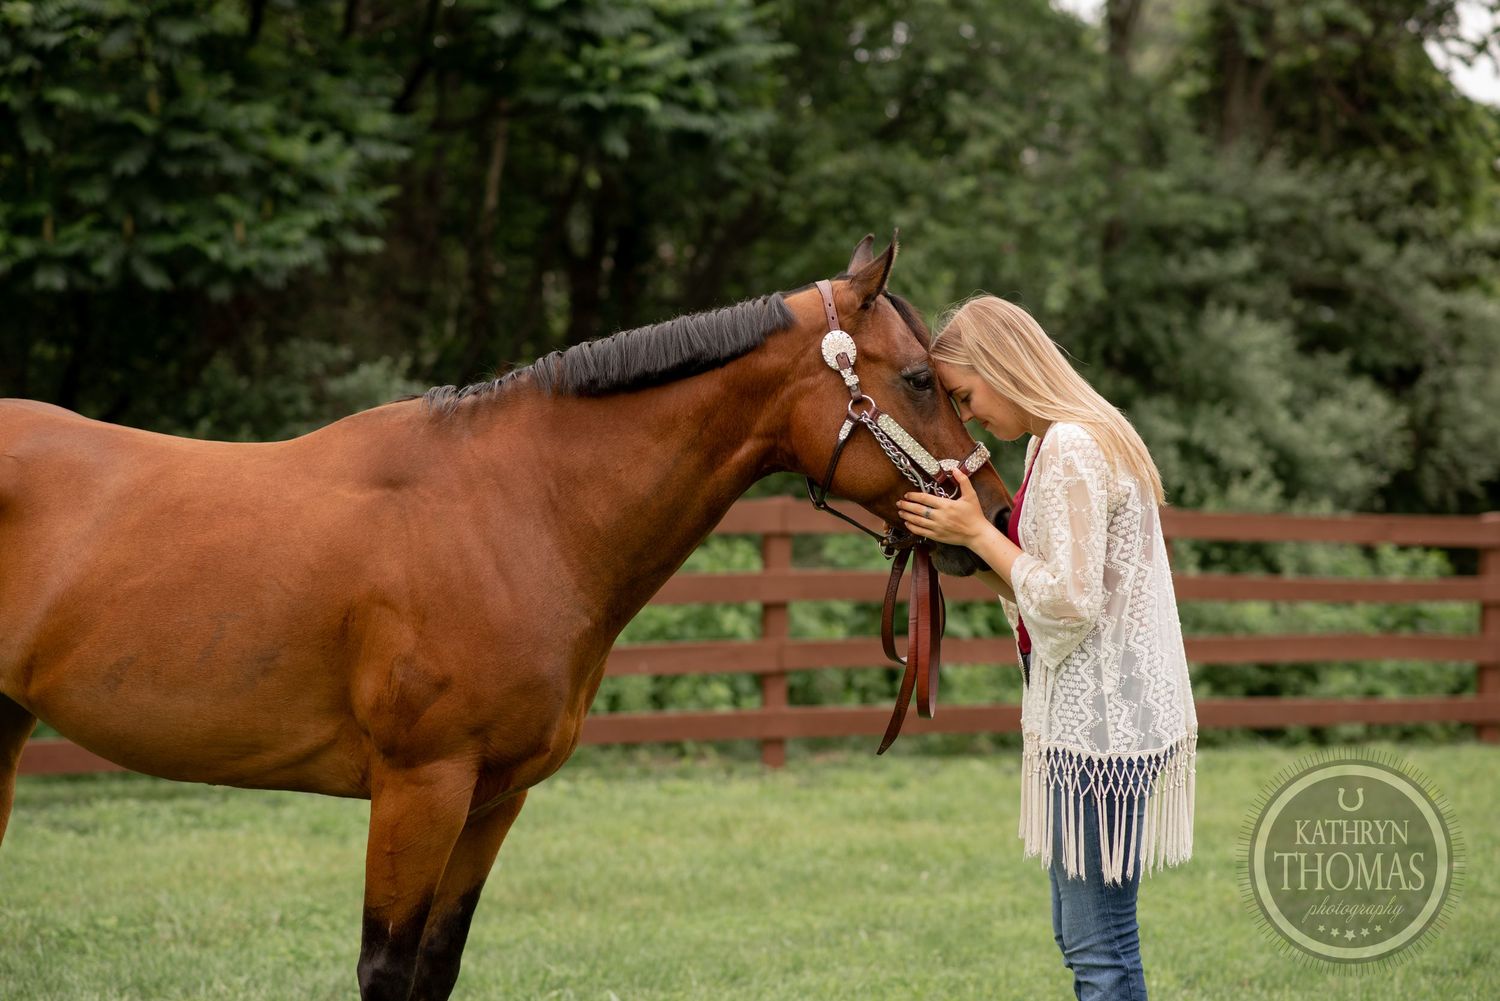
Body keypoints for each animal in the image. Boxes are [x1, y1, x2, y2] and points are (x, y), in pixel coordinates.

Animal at [0, 236, 1011, 1000]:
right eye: (919, 379)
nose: (995, 515)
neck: (518, 507)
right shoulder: (422, 787)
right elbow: (387, 969)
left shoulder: (493, 798)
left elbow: (436, 968)